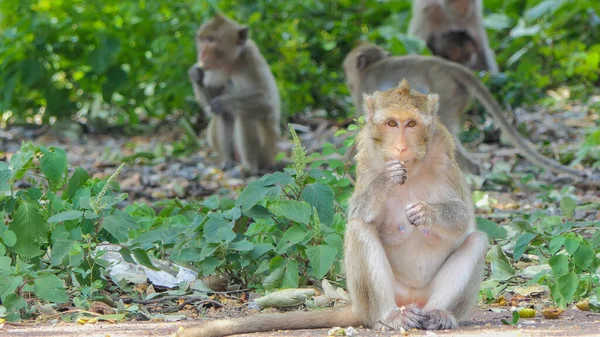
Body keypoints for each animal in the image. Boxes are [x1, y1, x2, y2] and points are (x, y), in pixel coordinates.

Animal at [173, 79, 488, 336]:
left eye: (410, 124)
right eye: (391, 124)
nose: (400, 147)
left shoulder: (444, 152)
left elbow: (464, 219)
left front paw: (425, 212)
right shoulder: (366, 154)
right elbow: (358, 213)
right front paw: (386, 180)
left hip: (427, 296)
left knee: (478, 240)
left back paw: (439, 314)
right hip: (376, 299)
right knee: (360, 230)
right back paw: (390, 317)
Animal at [188, 14, 282, 175]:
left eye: (211, 40)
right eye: (202, 39)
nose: (202, 54)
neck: (230, 63)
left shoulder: (251, 58)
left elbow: (267, 103)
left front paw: (224, 102)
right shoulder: (211, 72)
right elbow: (210, 108)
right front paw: (196, 74)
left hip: (268, 151)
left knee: (245, 114)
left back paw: (250, 168)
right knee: (221, 116)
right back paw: (228, 162)